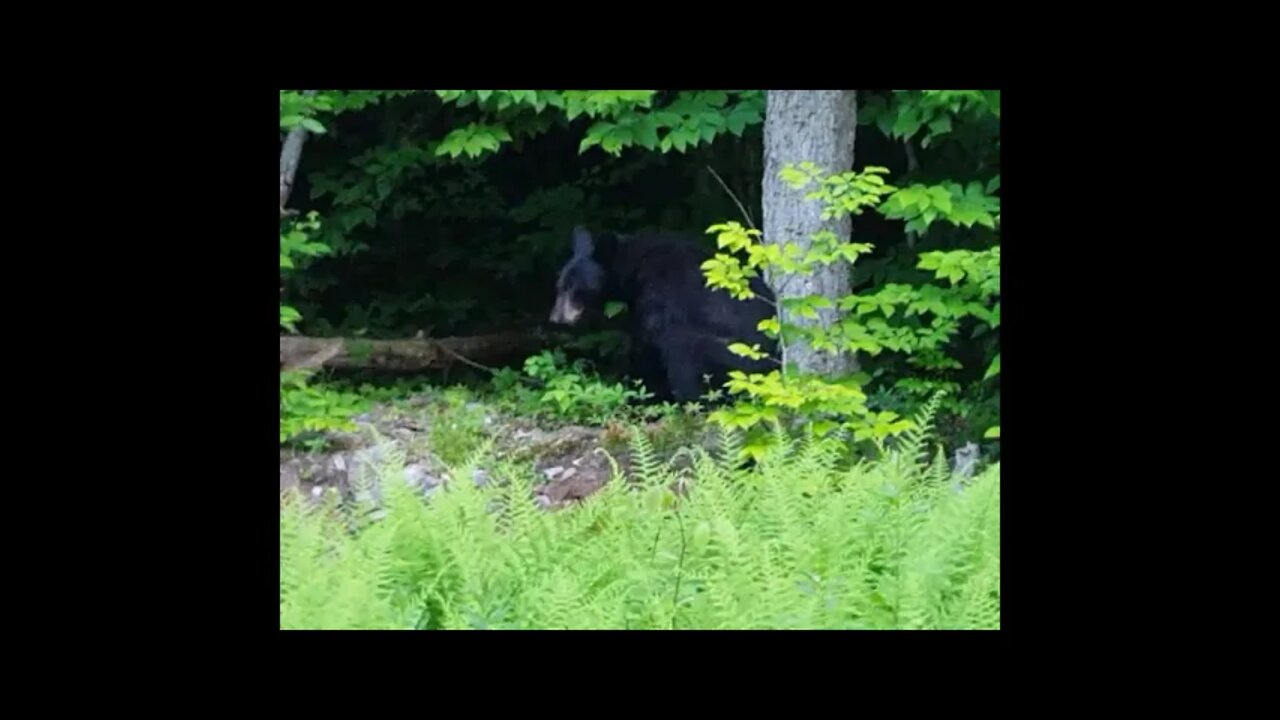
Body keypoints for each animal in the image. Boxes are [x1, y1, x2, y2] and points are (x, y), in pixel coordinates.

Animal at [548, 225, 777, 403]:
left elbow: (648, 347)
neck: (634, 268)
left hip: (734, 357)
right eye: (560, 285)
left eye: (576, 289)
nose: (556, 319)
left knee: (684, 351)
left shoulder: (660, 297)